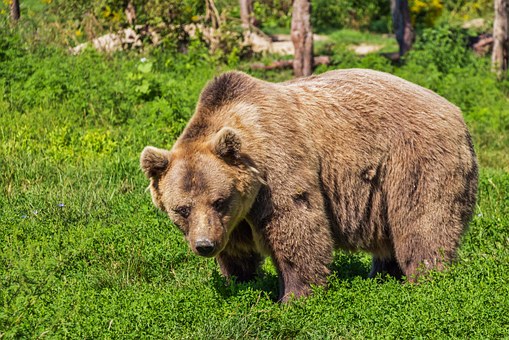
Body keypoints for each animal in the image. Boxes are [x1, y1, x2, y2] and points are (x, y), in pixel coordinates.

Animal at [141, 68, 478, 300]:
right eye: (182, 209)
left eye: (219, 200)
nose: (204, 245)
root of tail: (457, 112)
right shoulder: (234, 219)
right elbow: (237, 251)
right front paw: (239, 281)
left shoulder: (278, 168)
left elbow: (297, 227)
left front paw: (294, 296)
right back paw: (382, 276)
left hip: (415, 160)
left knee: (423, 222)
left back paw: (426, 279)